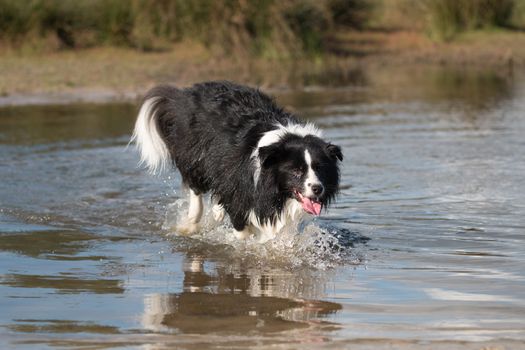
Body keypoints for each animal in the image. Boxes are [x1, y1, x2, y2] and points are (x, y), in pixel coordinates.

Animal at [133, 80, 342, 242]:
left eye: (319, 168)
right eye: (296, 171)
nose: (317, 189)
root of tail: (185, 95)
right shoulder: (240, 187)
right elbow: (242, 226)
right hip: (194, 153)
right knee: (196, 187)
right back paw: (191, 223)